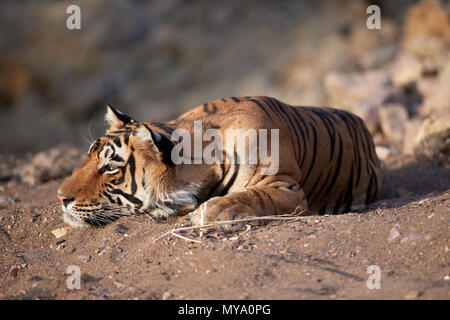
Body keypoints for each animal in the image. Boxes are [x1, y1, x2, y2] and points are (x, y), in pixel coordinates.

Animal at [55, 95, 380, 228]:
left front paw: (210, 212)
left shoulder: (285, 186)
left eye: (110, 167)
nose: (60, 197)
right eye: (89, 158)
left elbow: (251, 195)